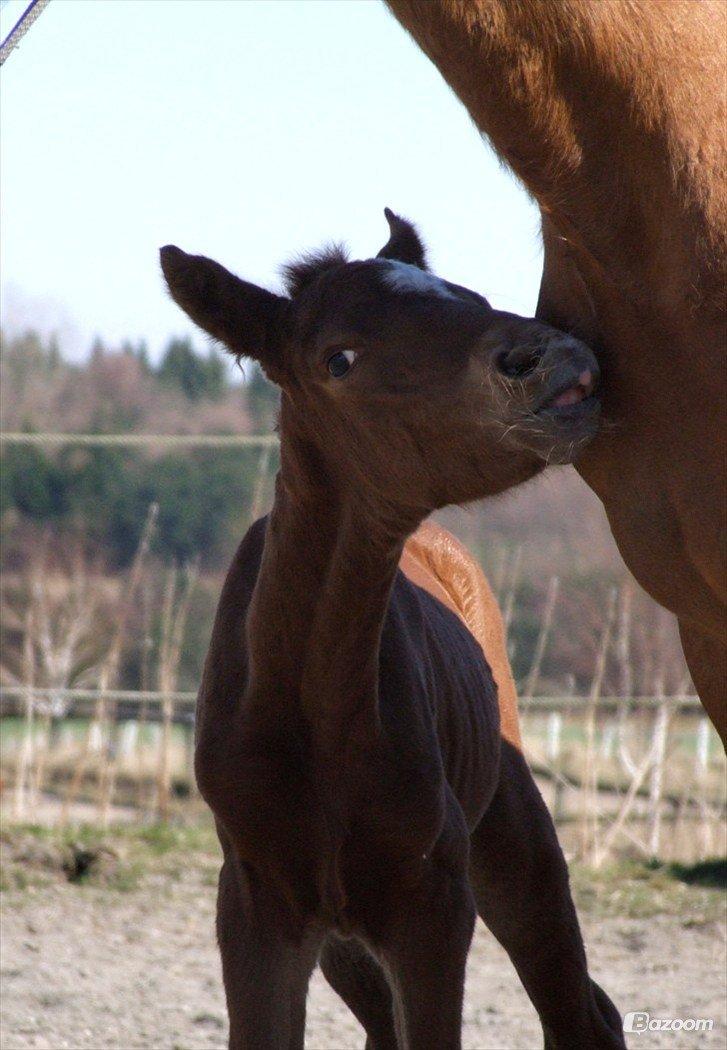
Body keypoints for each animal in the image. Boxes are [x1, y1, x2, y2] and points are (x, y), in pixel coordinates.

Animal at [160, 208, 626, 1045]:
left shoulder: (431, 904)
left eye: (467, 296)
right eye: (338, 358)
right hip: (346, 940)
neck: (313, 710)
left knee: (579, 1010)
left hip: (510, 838)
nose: (557, 358)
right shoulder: (256, 903)